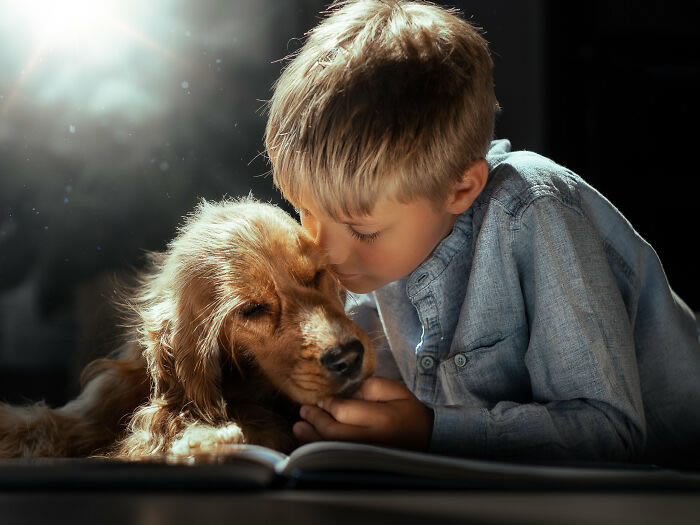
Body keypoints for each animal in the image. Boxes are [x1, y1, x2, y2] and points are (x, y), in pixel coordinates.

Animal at [0, 199, 378, 456]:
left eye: (316, 276)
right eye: (252, 309)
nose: (348, 358)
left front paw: (202, 439)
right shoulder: (96, 405)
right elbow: (38, 423)